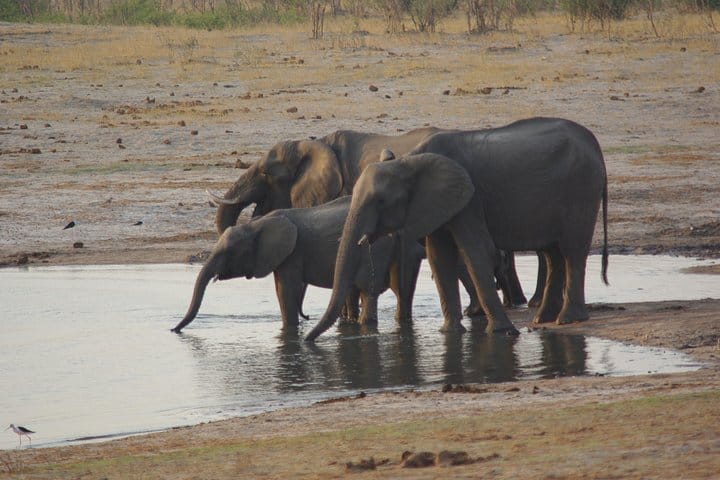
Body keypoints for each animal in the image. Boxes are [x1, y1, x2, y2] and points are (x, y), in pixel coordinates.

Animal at [172, 196, 424, 333]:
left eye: (228, 253)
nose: (173, 329)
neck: (258, 224)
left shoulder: (292, 253)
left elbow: (286, 291)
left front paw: (290, 332)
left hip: (377, 247)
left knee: (367, 289)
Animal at [305, 117, 608, 341]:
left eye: (380, 201)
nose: (307, 338)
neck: (409, 160)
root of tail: (594, 143)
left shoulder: (469, 198)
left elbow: (474, 250)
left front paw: (502, 332)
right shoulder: (437, 203)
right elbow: (440, 258)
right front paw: (450, 333)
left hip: (581, 188)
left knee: (571, 251)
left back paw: (568, 319)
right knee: (553, 254)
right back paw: (542, 319)